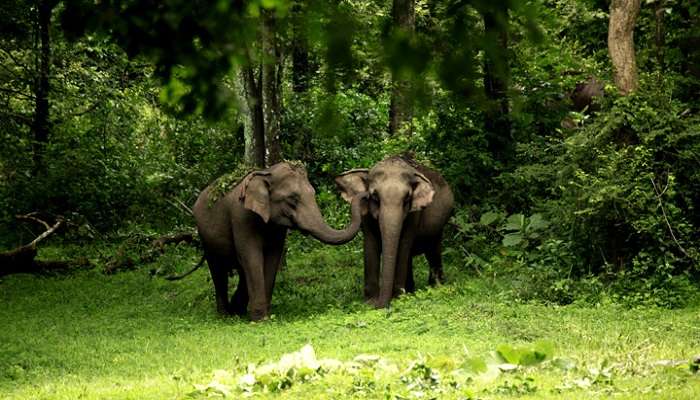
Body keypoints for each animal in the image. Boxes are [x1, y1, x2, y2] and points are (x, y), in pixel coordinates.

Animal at [191, 161, 366, 320]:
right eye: (292, 199)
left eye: (314, 193)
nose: (364, 195)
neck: (266, 173)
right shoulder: (241, 217)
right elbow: (251, 257)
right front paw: (260, 319)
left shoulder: (277, 227)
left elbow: (272, 257)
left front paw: (264, 315)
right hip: (205, 236)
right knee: (217, 270)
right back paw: (225, 315)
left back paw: (237, 310)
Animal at [334, 155, 454, 308]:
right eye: (374, 196)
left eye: (407, 197)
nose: (382, 305)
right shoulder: (366, 216)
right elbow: (370, 245)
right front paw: (370, 302)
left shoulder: (413, 215)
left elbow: (403, 245)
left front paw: (398, 299)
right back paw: (411, 290)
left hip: (440, 225)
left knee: (433, 251)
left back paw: (435, 286)